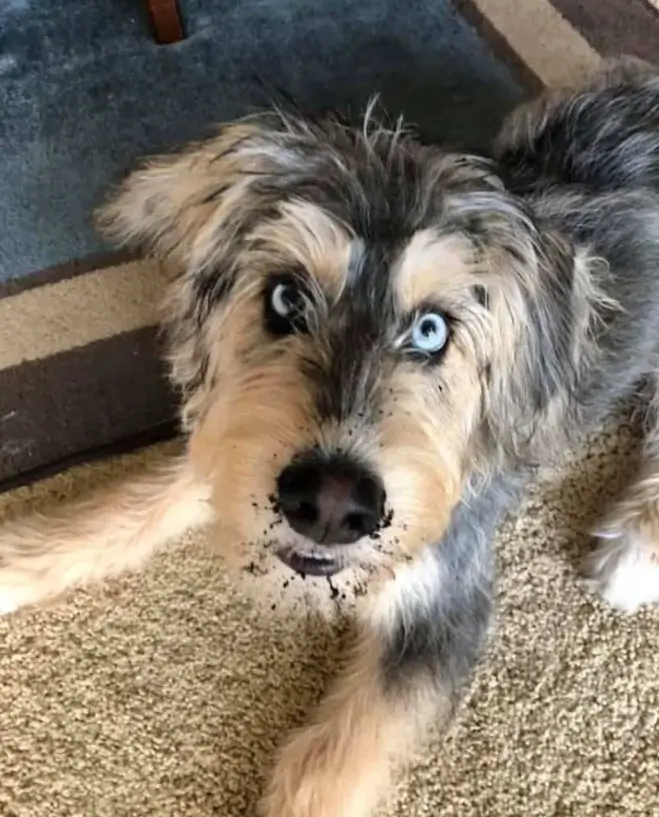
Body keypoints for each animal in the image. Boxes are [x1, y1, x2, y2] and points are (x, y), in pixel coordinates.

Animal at [1, 57, 659, 816]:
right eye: (285, 297)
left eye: (431, 330)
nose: (330, 505)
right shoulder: (236, 435)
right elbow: (138, 501)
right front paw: (17, 559)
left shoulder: (443, 602)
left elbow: (329, 768)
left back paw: (636, 546)